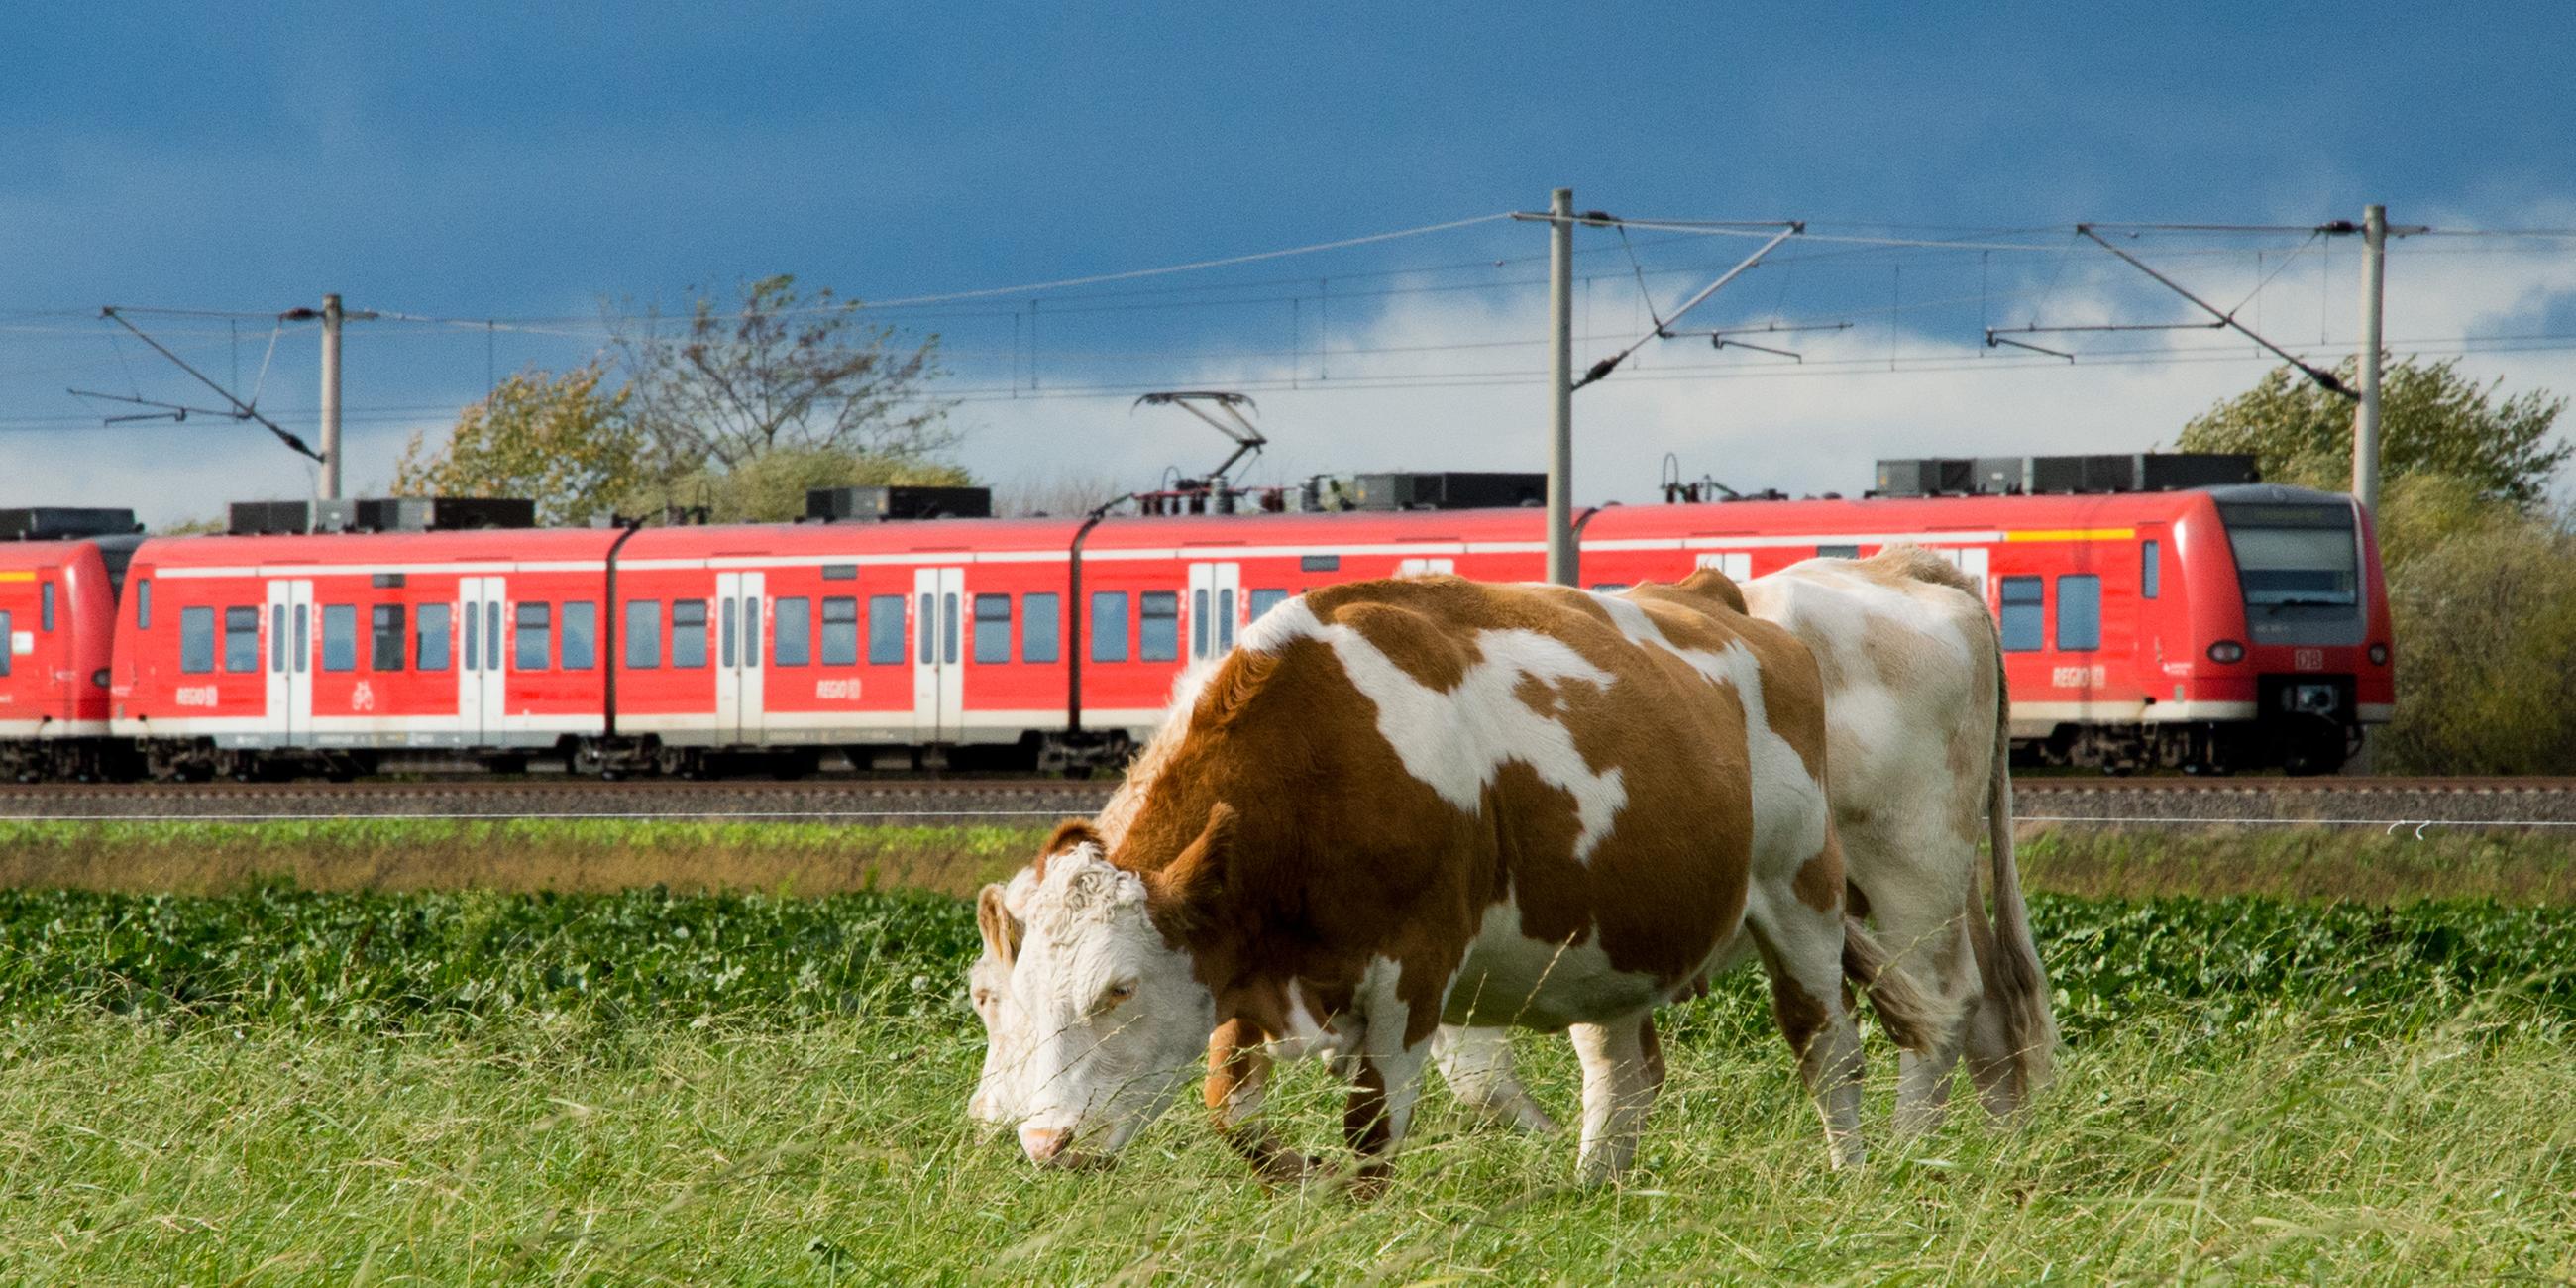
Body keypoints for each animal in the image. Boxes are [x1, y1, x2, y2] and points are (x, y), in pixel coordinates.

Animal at [978, 580, 1937, 1179]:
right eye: (1009, 996)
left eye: (1118, 989)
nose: (1045, 1142)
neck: (1323, 752)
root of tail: (1720, 603)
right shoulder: (1248, 965)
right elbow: (1229, 1111)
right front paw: (1302, 1175)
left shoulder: (1413, 968)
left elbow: (1371, 1129)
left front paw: (1352, 1205)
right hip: (1615, 943)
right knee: (1622, 1076)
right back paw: (1593, 1189)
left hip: (1802, 895)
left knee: (1828, 1050)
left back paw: (1848, 1174)